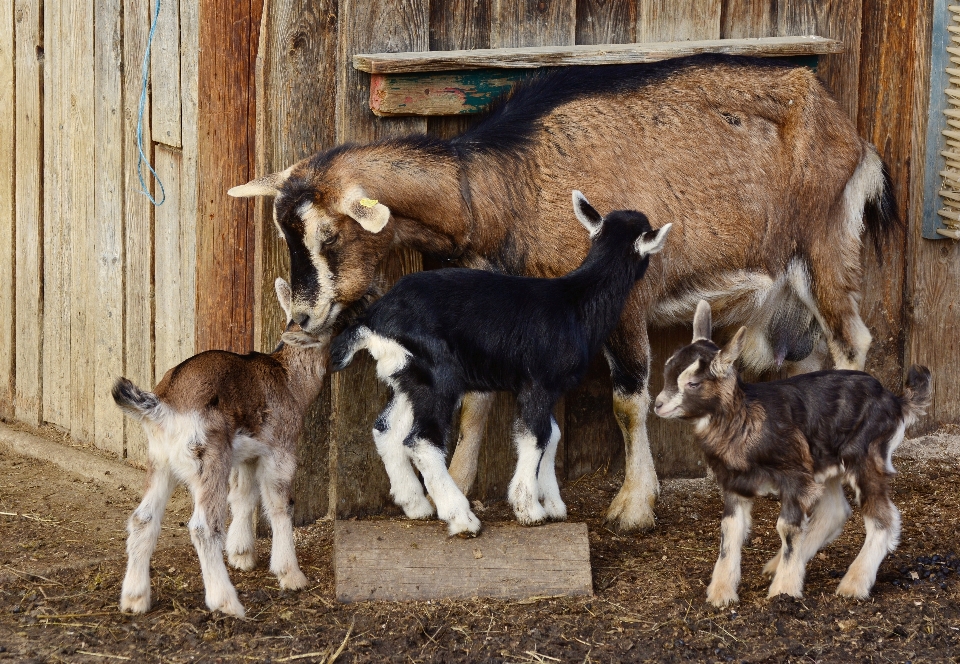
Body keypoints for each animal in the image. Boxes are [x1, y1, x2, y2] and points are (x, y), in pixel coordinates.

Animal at [229, 57, 896, 536]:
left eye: (330, 234)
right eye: (284, 233)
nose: (303, 317)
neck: (505, 187)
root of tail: (849, 130)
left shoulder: (626, 302)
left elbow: (629, 402)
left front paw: (633, 506)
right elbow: (477, 405)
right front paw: (463, 487)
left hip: (824, 241)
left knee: (851, 339)